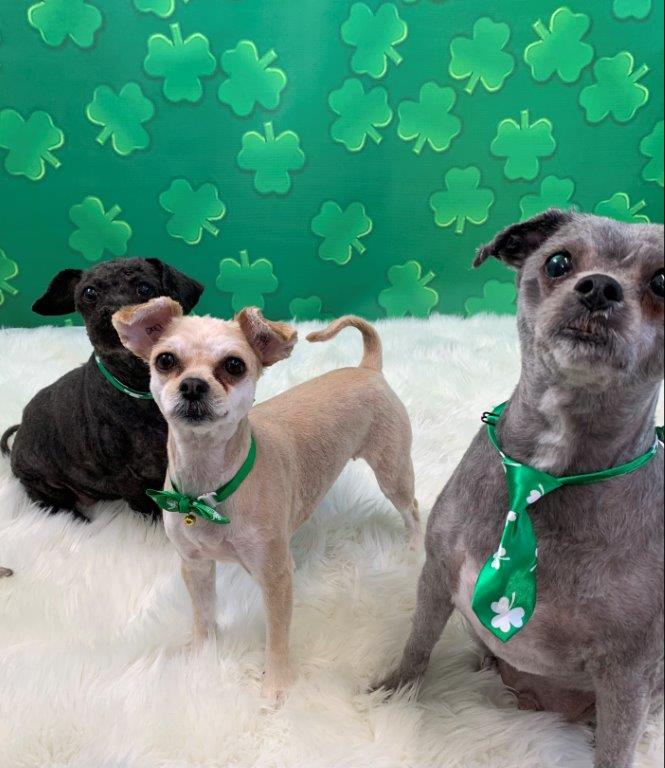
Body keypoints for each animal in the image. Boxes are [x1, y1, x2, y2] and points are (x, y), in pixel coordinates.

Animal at [1, 258, 203, 522]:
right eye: (89, 293)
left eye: (145, 288)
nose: (112, 313)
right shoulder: (123, 472)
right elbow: (143, 502)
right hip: (42, 482)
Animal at [111, 299, 421, 700]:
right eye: (165, 360)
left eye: (234, 365)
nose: (193, 384)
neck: (208, 490)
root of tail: (367, 369)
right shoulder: (194, 565)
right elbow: (203, 616)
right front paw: (201, 655)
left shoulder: (275, 576)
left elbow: (277, 639)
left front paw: (276, 688)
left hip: (392, 471)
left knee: (412, 509)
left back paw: (415, 548)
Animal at [375, 210, 664, 768]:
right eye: (558, 262)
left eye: (663, 281)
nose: (599, 287)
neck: (544, 474)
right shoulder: (438, 573)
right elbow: (418, 645)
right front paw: (392, 693)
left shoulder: (628, 672)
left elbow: (615, 750)